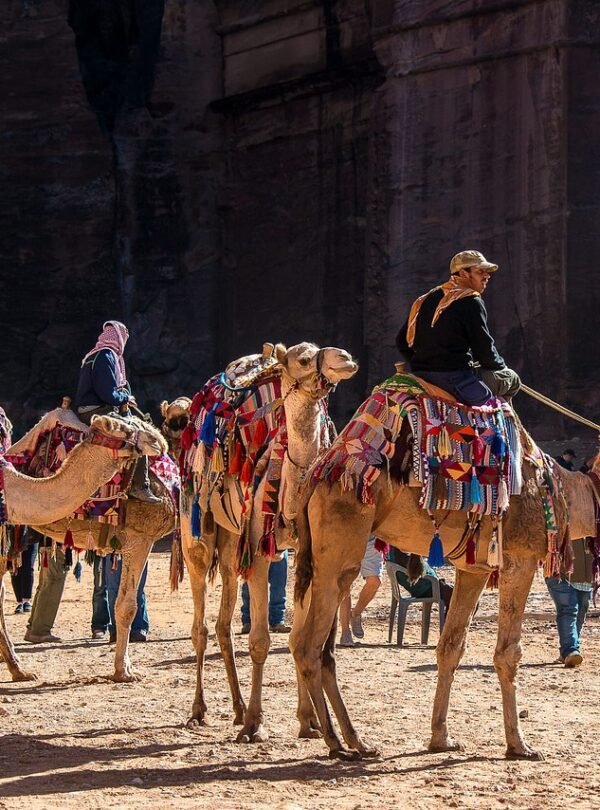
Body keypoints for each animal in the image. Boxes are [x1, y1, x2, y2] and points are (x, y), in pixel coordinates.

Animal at [0, 412, 167, 682]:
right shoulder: (141, 538)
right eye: (124, 429)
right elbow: (127, 605)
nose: (159, 441)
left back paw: (21, 671)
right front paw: (124, 672)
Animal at [180, 342, 358, 742]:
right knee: (200, 627)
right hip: (196, 533)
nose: (345, 357)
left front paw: (307, 721)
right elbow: (260, 641)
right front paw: (254, 724)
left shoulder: (303, 554)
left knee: (222, 623)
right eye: (303, 359)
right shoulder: (260, 555)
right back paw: (200, 710)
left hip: (232, 544)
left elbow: (296, 639)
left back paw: (235, 707)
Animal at [289, 388, 599, 761]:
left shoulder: (473, 568)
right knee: (310, 645)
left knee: (315, 647)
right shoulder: (519, 558)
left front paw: (441, 738)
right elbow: (508, 653)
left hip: (317, 557)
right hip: (341, 545)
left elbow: (451, 646)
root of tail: (316, 475)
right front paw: (519, 745)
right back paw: (336, 742)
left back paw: (356, 741)